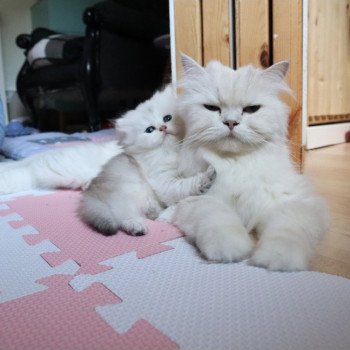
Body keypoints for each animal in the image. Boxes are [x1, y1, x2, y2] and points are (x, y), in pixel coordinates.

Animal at [79, 85, 216, 237]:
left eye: (167, 118)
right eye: (150, 129)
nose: (163, 128)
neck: (171, 151)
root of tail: (91, 195)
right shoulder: (164, 181)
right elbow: (186, 185)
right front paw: (208, 175)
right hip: (128, 197)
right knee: (123, 217)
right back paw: (137, 226)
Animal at [169, 54, 328, 272]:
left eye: (251, 109)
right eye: (212, 108)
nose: (230, 123)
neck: (236, 163)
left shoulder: (293, 203)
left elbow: (285, 232)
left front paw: (278, 260)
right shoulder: (197, 201)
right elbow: (219, 219)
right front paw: (231, 250)